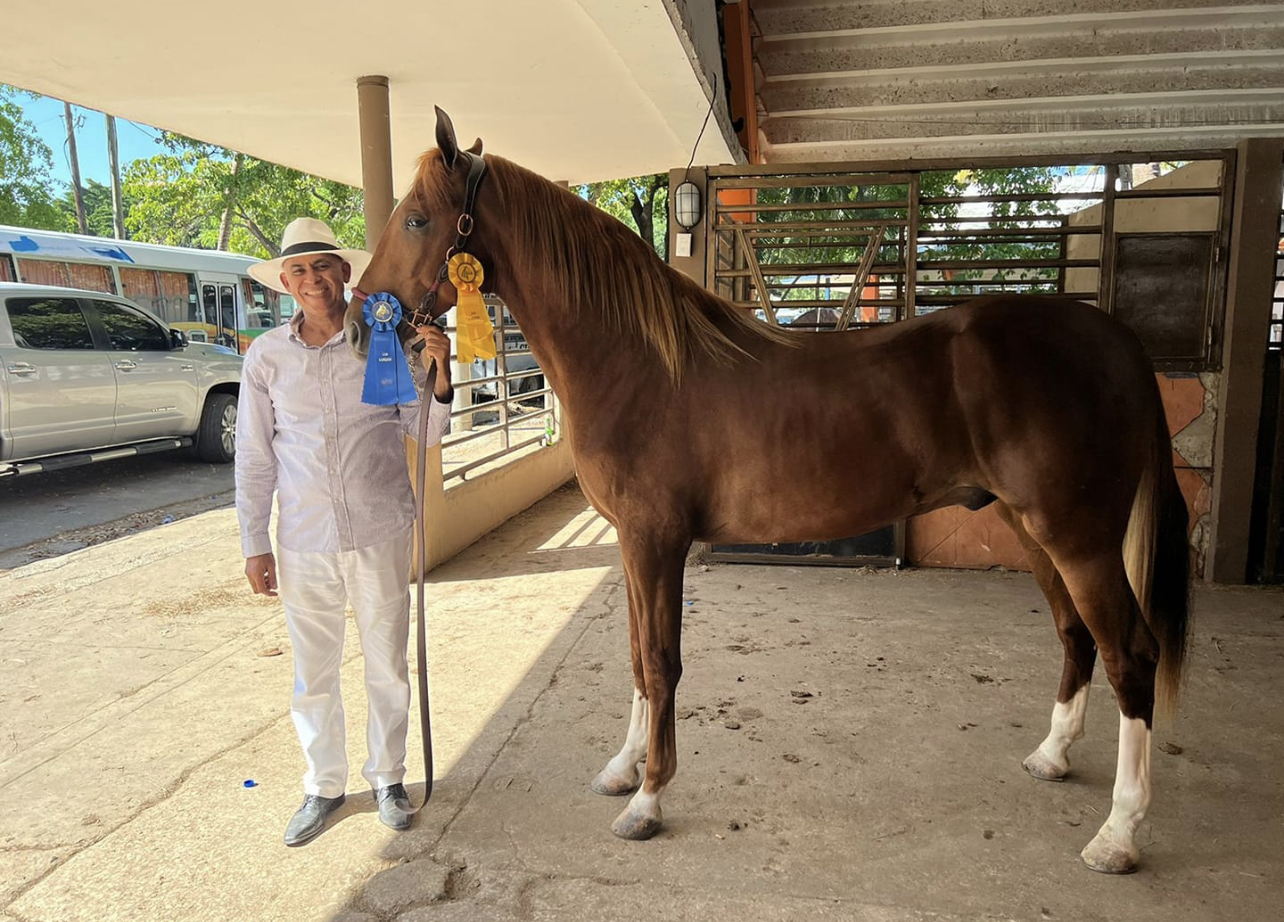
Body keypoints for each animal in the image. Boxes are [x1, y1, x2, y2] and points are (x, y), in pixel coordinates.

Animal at [346, 109, 1191, 874]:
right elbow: (635, 657)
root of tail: (1117, 340)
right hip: (1031, 529)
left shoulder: (657, 542)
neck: (637, 362)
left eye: (416, 217)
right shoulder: (631, 544)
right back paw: (1052, 757)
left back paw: (1119, 834)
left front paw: (649, 800)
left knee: (1131, 653)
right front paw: (622, 770)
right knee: (1076, 636)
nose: (359, 326)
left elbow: (661, 662)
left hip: (1077, 537)